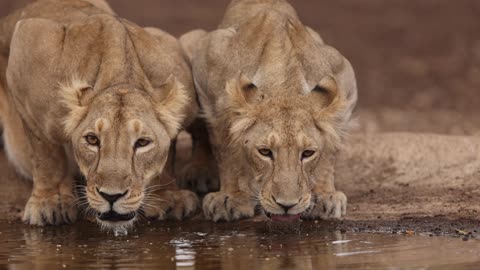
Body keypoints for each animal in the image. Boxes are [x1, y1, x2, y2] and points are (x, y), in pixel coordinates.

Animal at [0, 0, 199, 229]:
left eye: (142, 142)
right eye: (92, 139)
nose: (111, 196)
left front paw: (167, 195)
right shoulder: (25, 44)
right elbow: (46, 153)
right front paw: (50, 202)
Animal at [182, 0, 358, 221]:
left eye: (308, 153)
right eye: (265, 152)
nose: (287, 205)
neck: (284, 84)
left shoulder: (345, 81)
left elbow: (330, 151)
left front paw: (324, 195)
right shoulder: (209, 78)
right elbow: (226, 149)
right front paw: (231, 197)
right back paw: (201, 172)